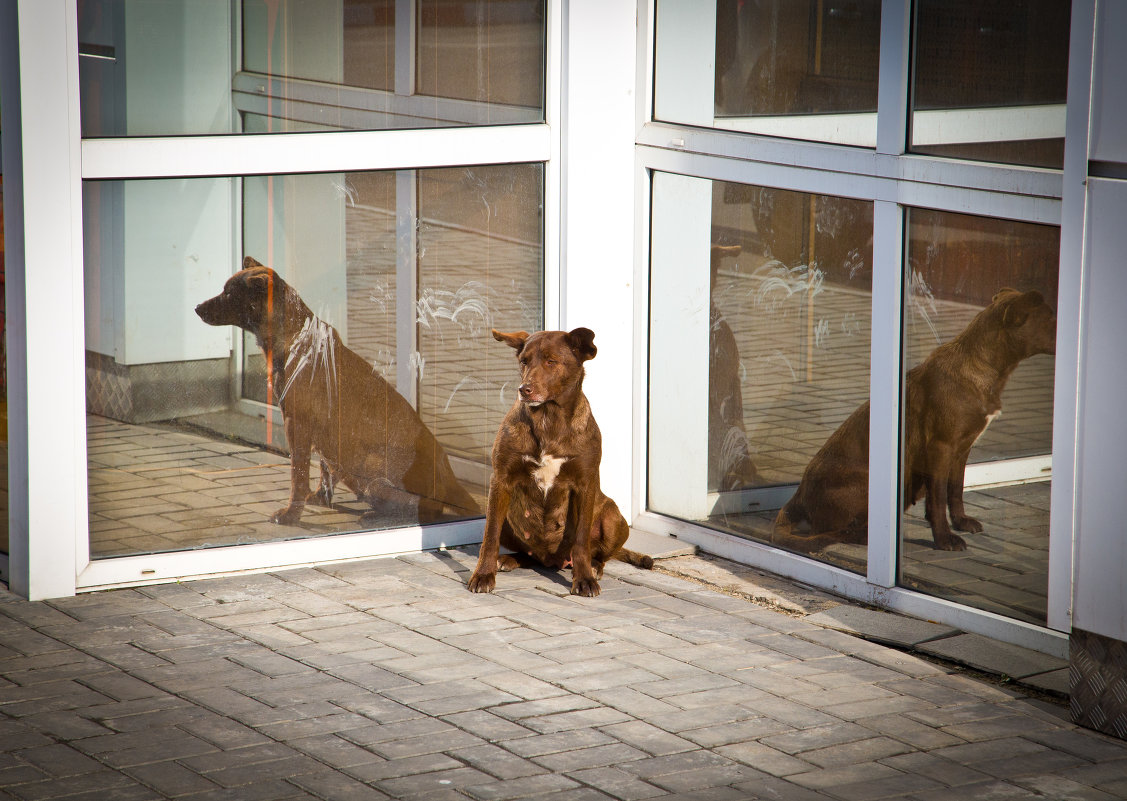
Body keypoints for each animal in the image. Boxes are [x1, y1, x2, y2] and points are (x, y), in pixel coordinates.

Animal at [196, 256, 477, 527]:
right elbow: (323, 471)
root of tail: (449, 476)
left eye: (229, 294)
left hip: (373, 477)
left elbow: (298, 476)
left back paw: (378, 516)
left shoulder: (296, 424)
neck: (294, 336)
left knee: (426, 510)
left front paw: (291, 514)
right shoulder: (322, 431)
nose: (197, 308)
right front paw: (320, 499)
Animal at [466, 326, 653, 594]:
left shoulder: (585, 484)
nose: (524, 389)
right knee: (527, 553)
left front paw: (584, 578)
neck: (548, 417)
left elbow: (582, 540)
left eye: (551, 362)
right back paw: (509, 559)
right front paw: (483, 575)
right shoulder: (500, 480)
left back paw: (594, 566)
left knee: (602, 554)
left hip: (613, 517)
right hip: (507, 513)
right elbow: (490, 536)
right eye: (524, 361)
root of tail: (552, 560)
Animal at [775, 290, 1054, 554]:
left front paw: (961, 522)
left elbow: (955, 490)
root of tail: (797, 498)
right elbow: (938, 497)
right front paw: (944, 539)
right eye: (1051, 318)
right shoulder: (940, 448)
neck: (984, 367)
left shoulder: (962, 449)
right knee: (839, 531)